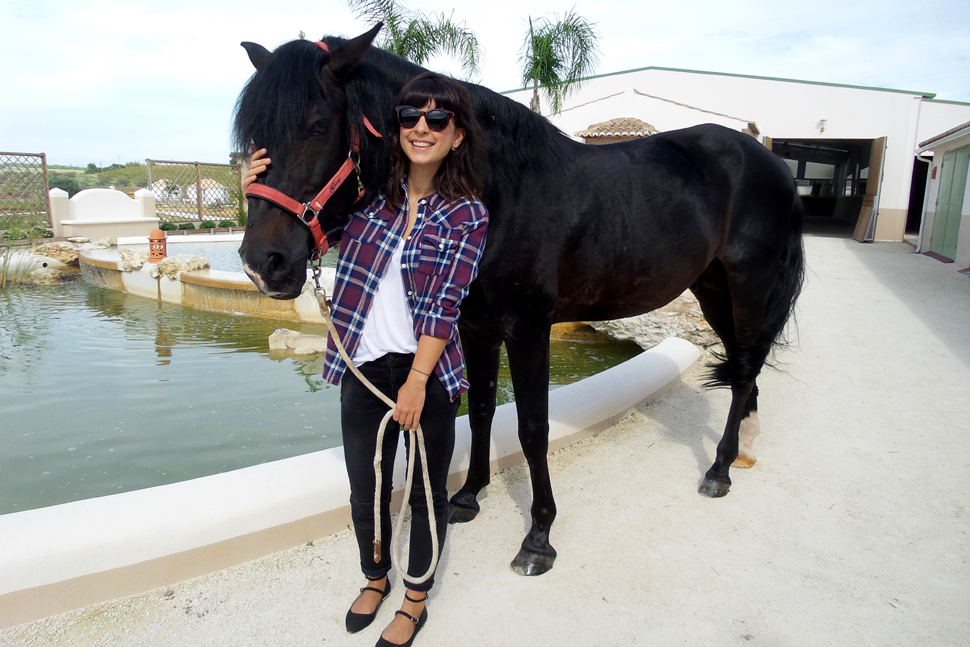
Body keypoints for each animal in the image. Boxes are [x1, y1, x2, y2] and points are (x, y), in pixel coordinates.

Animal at [233, 26, 800, 576]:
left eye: (317, 126)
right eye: (254, 138)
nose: (264, 263)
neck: (501, 191)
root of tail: (770, 159)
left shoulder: (528, 329)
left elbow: (532, 428)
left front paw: (539, 537)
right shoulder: (474, 326)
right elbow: (482, 410)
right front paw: (468, 496)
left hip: (748, 287)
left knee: (746, 366)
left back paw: (720, 467)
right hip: (712, 290)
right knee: (743, 365)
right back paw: (743, 450)